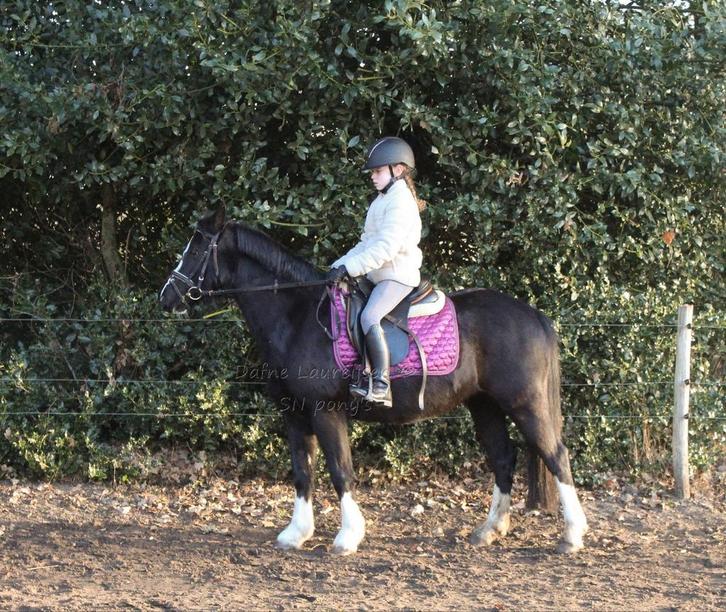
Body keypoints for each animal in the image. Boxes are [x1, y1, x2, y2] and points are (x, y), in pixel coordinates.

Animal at [159, 207, 588, 555]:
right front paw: (296, 533)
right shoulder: (295, 415)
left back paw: (571, 536)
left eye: (196, 249)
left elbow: (339, 470)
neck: (297, 318)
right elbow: (302, 471)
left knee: (556, 455)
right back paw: (489, 530)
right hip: (484, 405)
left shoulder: (325, 411)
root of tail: (534, 315)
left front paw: (347, 537)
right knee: (503, 458)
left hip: (525, 403)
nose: (166, 296)